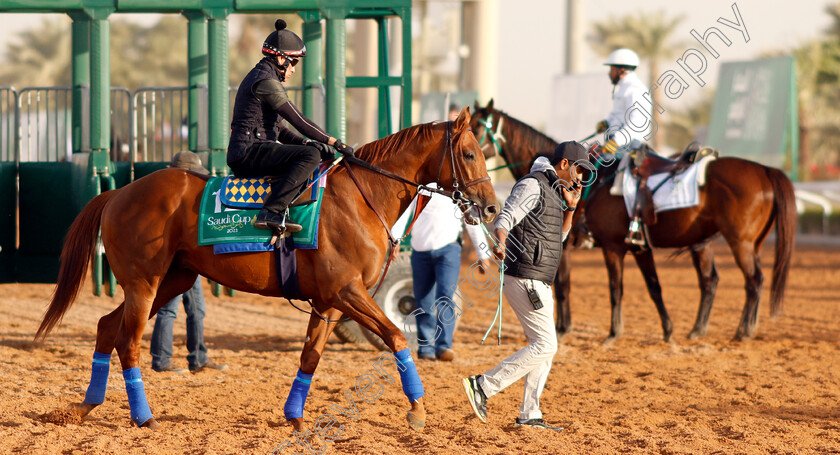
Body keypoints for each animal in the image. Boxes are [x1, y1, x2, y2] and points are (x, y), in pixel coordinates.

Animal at [36, 107, 498, 432]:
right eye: (470, 153)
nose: (491, 207)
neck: (360, 197)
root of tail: (117, 193)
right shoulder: (348, 291)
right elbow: (397, 338)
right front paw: (418, 410)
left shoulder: (328, 301)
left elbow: (310, 356)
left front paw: (295, 417)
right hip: (144, 283)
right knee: (128, 342)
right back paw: (143, 417)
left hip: (170, 280)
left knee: (106, 328)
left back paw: (84, 406)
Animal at [472, 100, 796, 342]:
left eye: (475, 127)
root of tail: (765, 170)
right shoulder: (638, 248)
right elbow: (653, 288)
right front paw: (667, 330)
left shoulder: (612, 247)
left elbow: (610, 288)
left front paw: (608, 333)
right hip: (705, 244)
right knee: (710, 281)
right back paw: (698, 330)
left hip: (740, 243)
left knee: (754, 280)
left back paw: (744, 331)